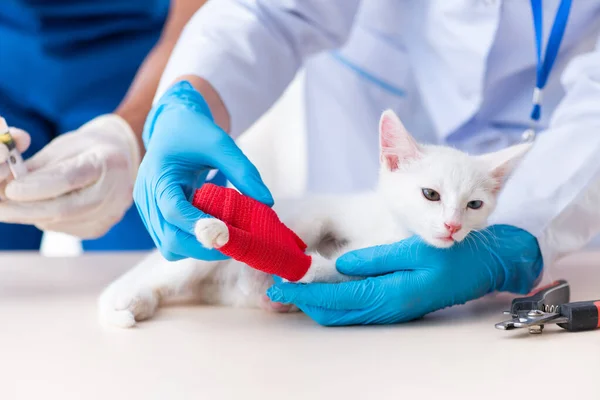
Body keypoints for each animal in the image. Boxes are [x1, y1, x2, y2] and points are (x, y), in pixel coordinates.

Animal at [98, 110, 528, 328]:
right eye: (431, 195)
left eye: (474, 205)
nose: (453, 226)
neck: (395, 231)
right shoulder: (327, 214)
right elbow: (309, 242)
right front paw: (224, 230)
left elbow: (338, 269)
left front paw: (299, 273)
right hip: (185, 263)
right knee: (159, 275)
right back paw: (127, 297)